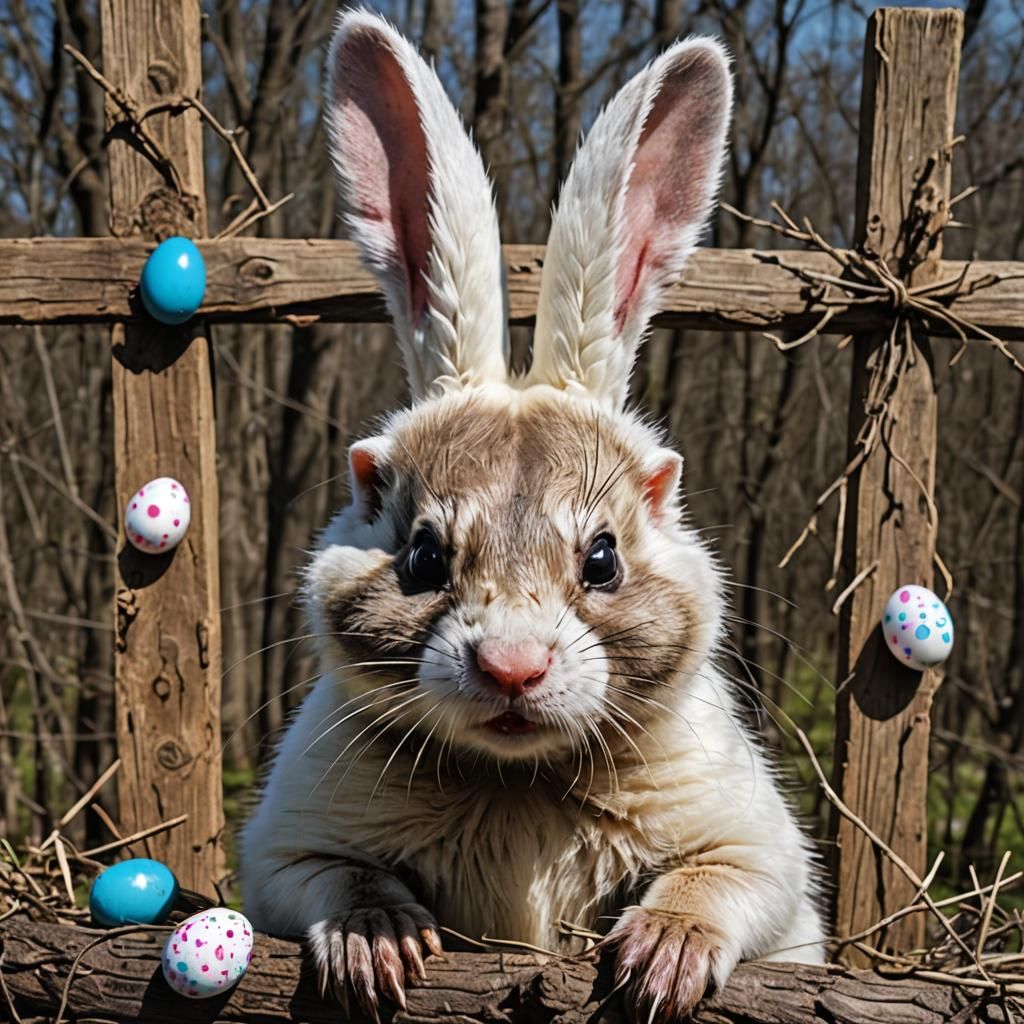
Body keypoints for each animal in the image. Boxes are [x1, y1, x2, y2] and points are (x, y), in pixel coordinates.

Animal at [239, 10, 825, 1023]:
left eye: (603, 560)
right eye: (423, 558)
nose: (513, 669)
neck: (519, 779)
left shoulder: (763, 857)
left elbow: (716, 882)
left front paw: (661, 960)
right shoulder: (287, 851)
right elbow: (338, 880)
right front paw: (377, 945)